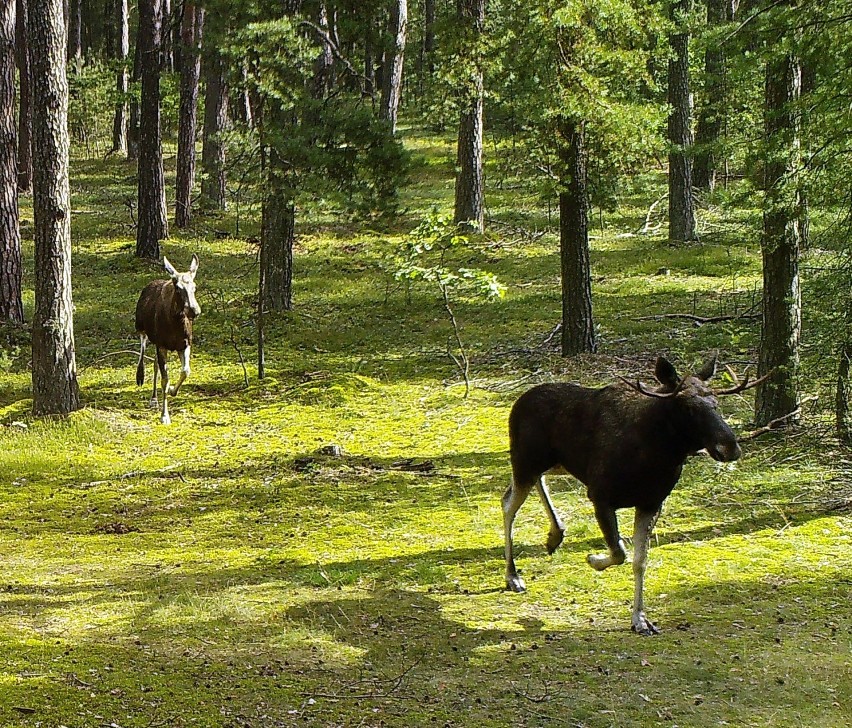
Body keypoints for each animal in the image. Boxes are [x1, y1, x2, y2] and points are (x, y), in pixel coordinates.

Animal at [502, 356, 764, 636]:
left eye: (716, 402)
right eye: (688, 408)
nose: (730, 447)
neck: (653, 455)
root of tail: (518, 402)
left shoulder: (651, 503)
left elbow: (640, 561)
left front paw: (640, 619)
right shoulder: (600, 496)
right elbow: (620, 552)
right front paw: (593, 559)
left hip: (552, 463)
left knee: (527, 486)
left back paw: (555, 535)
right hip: (525, 461)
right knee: (508, 504)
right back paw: (513, 575)